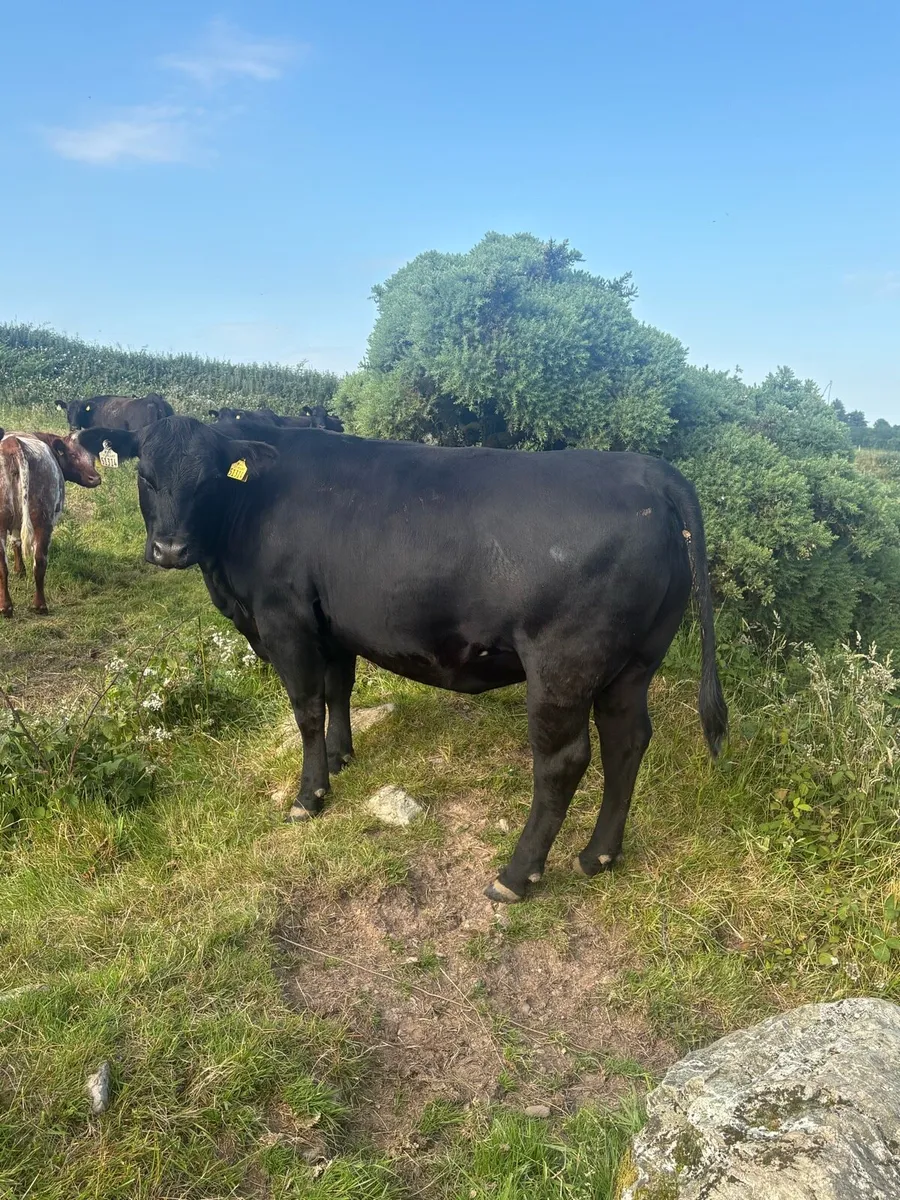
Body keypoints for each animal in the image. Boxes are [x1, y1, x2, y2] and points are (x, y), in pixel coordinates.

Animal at [0, 430, 101, 616]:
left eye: (92, 457)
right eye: (73, 455)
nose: (96, 478)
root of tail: (13, 443)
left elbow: (16, 542)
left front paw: (20, 570)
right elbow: (17, 542)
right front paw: (20, 570)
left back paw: (16, 606)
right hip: (43, 520)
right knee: (36, 561)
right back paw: (32, 606)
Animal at [78, 417, 727, 902]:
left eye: (209, 479)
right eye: (146, 475)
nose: (169, 549)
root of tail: (647, 469)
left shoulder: (285, 619)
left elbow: (307, 708)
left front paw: (309, 796)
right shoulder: (332, 624)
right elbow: (338, 691)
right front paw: (340, 757)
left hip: (562, 665)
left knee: (563, 761)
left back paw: (516, 876)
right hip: (633, 664)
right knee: (626, 740)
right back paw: (599, 855)